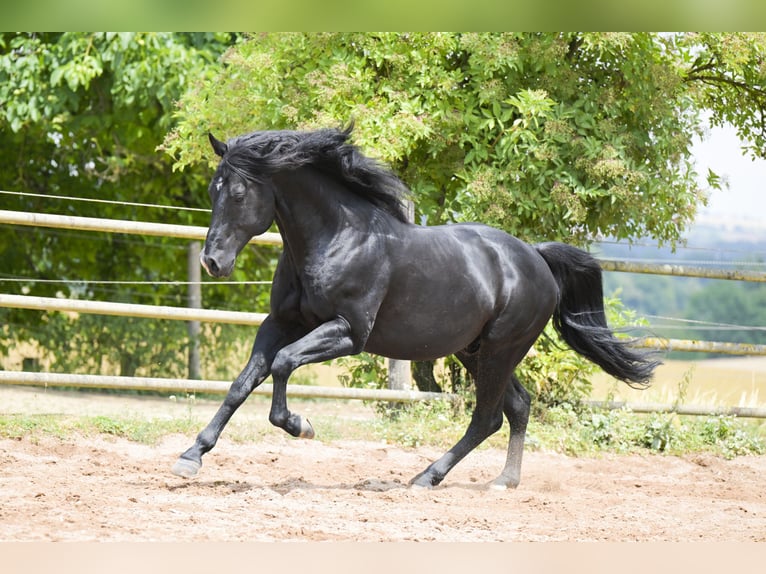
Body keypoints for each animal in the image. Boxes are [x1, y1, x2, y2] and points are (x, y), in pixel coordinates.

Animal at [171, 125, 658, 489]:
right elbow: (242, 383)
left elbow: (283, 364)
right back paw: (503, 481)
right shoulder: (279, 323)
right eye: (212, 191)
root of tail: (535, 257)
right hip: (475, 350)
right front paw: (191, 456)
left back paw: (427, 477)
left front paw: (300, 424)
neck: (337, 237)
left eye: (237, 193)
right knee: (517, 406)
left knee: (487, 418)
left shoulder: (348, 332)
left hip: (501, 349)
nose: (213, 262)